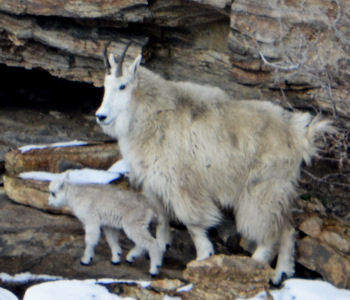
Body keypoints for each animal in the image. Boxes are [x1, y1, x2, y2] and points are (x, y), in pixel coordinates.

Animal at [96, 42, 334, 284]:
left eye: (123, 86)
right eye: (105, 85)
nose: (101, 116)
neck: (153, 114)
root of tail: (299, 135)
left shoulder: (182, 183)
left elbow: (192, 223)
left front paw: (204, 256)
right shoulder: (154, 181)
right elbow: (162, 218)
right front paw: (155, 250)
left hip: (262, 188)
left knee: (270, 231)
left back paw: (255, 265)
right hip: (278, 189)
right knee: (286, 227)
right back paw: (281, 273)